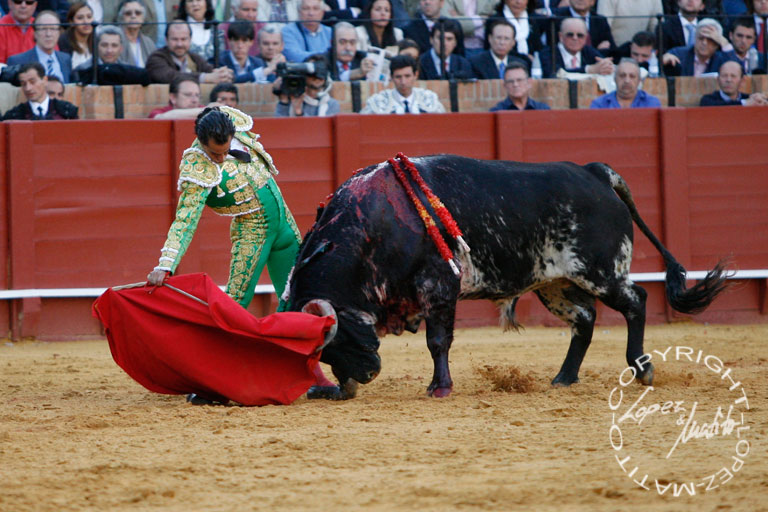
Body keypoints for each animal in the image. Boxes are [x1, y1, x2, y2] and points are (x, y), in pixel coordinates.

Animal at [286, 154, 728, 398]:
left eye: (337, 338)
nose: (360, 378)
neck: (375, 225)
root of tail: (594, 173)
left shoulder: (439, 287)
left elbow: (437, 341)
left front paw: (439, 387)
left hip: (601, 272)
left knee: (636, 301)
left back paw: (641, 368)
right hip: (555, 284)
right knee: (584, 321)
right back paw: (564, 378)